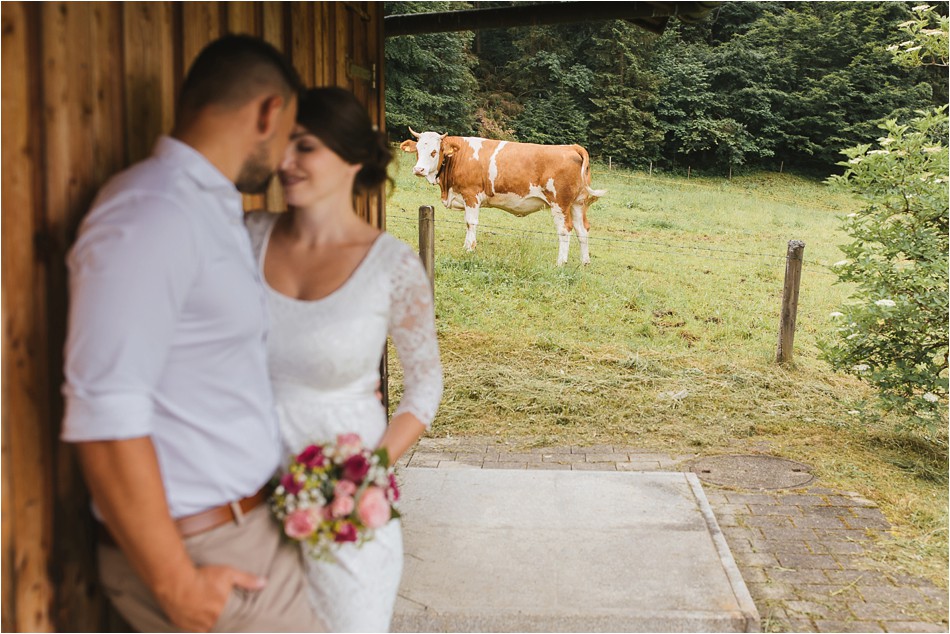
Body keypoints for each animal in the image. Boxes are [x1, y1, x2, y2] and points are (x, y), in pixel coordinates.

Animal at [399, 128, 606, 266]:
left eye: (434, 152)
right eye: (418, 150)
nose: (418, 169)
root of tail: (572, 147)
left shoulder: (471, 195)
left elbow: (470, 223)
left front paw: (469, 249)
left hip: (560, 203)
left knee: (565, 230)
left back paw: (560, 263)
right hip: (578, 203)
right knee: (582, 229)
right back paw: (585, 262)